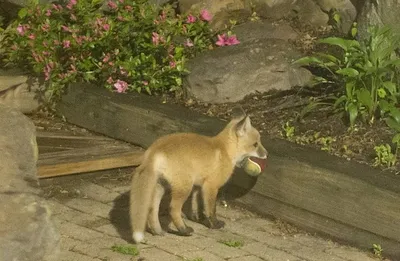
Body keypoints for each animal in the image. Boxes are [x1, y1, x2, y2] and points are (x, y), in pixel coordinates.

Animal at [131, 107, 268, 242]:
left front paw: (198, 219)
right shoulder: (211, 186)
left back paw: (157, 231)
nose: (267, 154)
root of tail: (154, 149)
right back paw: (184, 230)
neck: (225, 150)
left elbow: (197, 207)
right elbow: (211, 209)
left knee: (152, 209)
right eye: (255, 144)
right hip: (184, 187)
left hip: (161, 187)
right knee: (173, 209)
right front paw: (214, 224)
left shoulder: (198, 186)